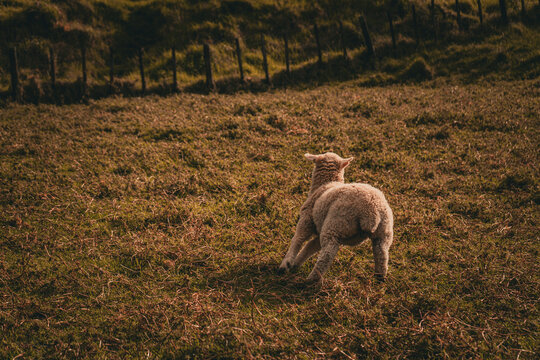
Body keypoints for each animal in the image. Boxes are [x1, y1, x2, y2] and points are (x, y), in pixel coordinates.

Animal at [278, 150, 392, 282]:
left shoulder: (307, 219)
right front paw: (296, 263)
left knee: (327, 253)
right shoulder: (320, 229)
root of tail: (372, 212)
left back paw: (311, 280)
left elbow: (298, 239)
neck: (327, 183)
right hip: (383, 232)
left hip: (336, 225)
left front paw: (286, 264)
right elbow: (310, 246)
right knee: (382, 255)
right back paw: (380, 278)